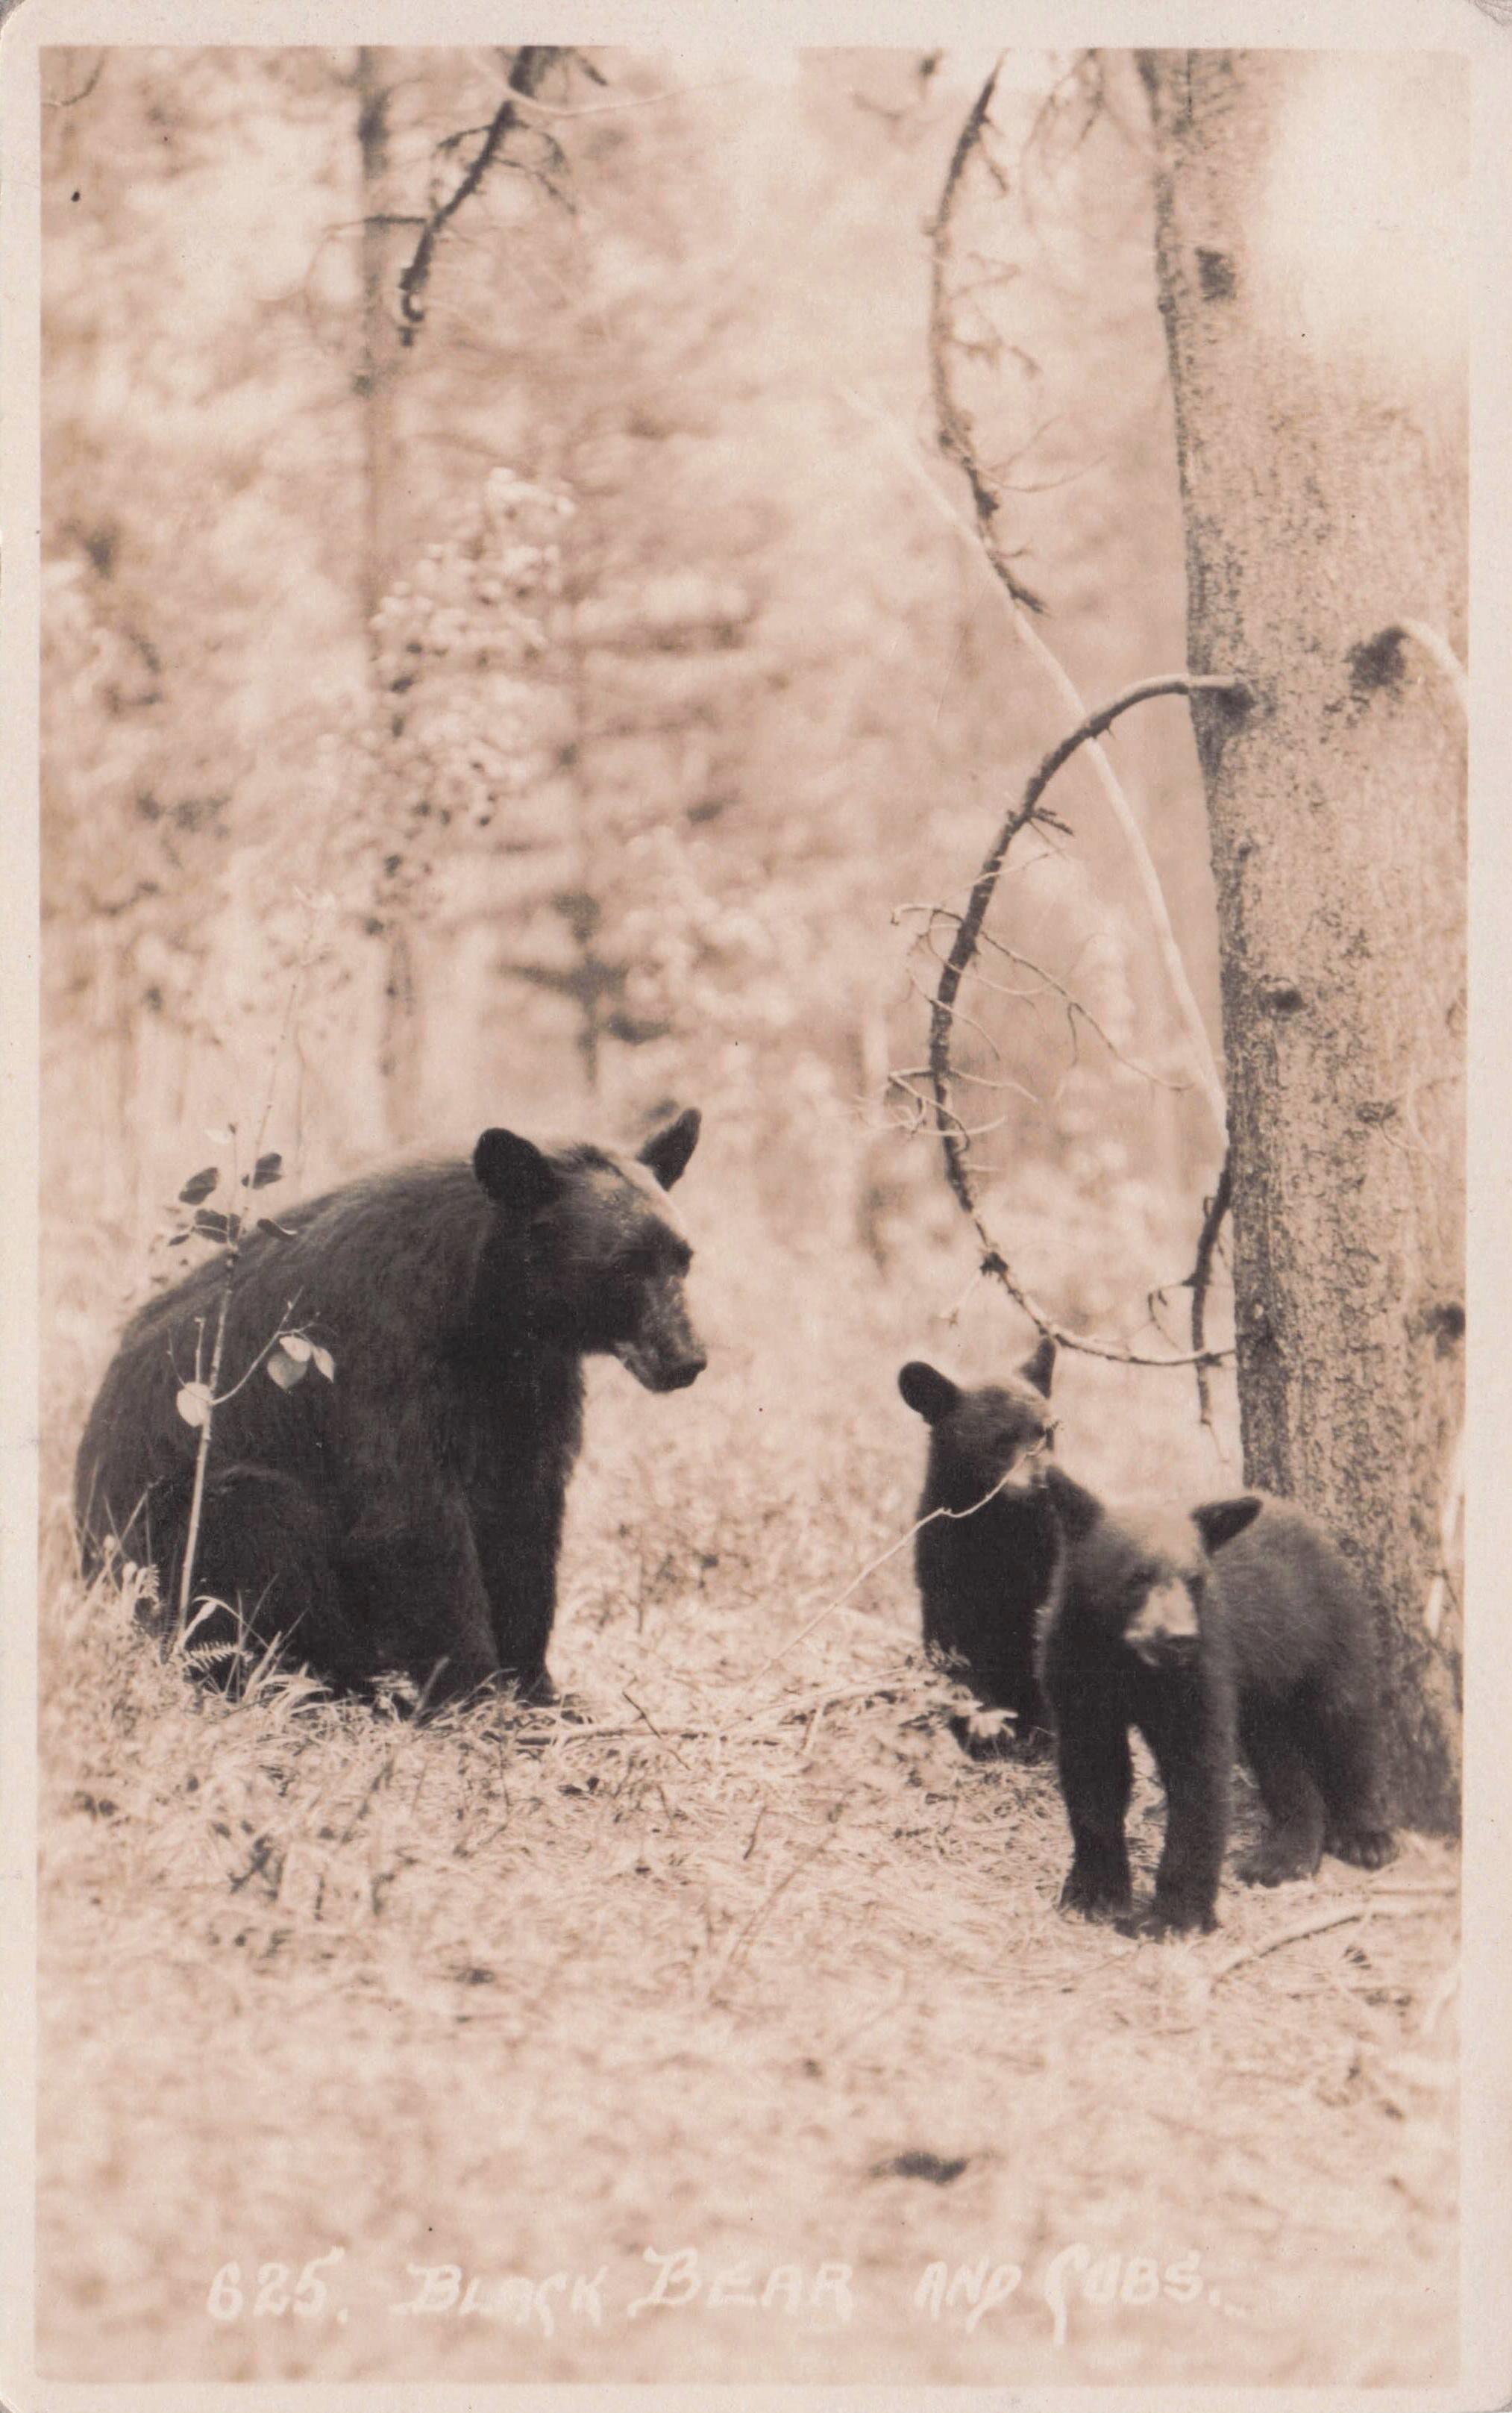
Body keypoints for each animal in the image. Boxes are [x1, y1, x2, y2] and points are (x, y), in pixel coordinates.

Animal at [74, 1108, 706, 1708]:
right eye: (623, 1265)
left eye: (683, 1258)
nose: (687, 1359)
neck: (486, 1313)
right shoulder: (379, 1352)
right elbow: (409, 1520)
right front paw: (477, 1701)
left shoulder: (527, 1381)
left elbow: (525, 1514)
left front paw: (540, 1691)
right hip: (164, 1559)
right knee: (254, 1518)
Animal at [897, 1338, 1058, 1756]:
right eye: (999, 1440)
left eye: (1048, 1432)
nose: (1045, 1483)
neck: (999, 1522)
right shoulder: (946, 1555)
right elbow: (959, 1642)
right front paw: (983, 1723)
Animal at [1037, 1463, 1395, 1935]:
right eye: (1137, 1578)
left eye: (1195, 1580)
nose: (1180, 1638)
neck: (1127, 1663)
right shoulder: (1072, 1675)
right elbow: (1093, 1777)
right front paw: (1093, 1893)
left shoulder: (1201, 1673)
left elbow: (1199, 1776)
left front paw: (1173, 1916)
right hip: (1265, 1689)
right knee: (1279, 1757)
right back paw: (1284, 1856)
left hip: (1331, 1629)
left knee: (1347, 1720)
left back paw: (1366, 1837)